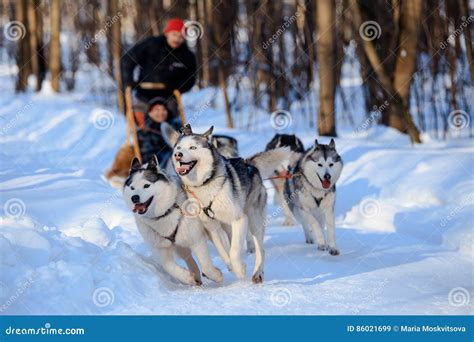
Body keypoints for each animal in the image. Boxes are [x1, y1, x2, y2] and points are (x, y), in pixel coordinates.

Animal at [124, 156, 224, 284]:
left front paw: (216, 275)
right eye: (132, 188)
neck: (164, 213)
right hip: (180, 245)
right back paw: (195, 275)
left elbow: (206, 265)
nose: (134, 198)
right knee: (188, 258)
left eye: (146, 185)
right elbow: (168, 266)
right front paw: (187, 277)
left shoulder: (196, 239)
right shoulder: (162, 247)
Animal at [163, 123, 288, 284]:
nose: (178, 155)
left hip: (254, 220)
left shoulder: (239, 220)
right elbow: (224, 251)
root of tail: (248, 164)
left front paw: (240, 270)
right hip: (227, 227)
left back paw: (258, 273)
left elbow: (234, 251)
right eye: (178, 148)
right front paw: (231, 267)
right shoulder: (213, 228)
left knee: (260, 249)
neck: (205, 184)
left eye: (193, 147)